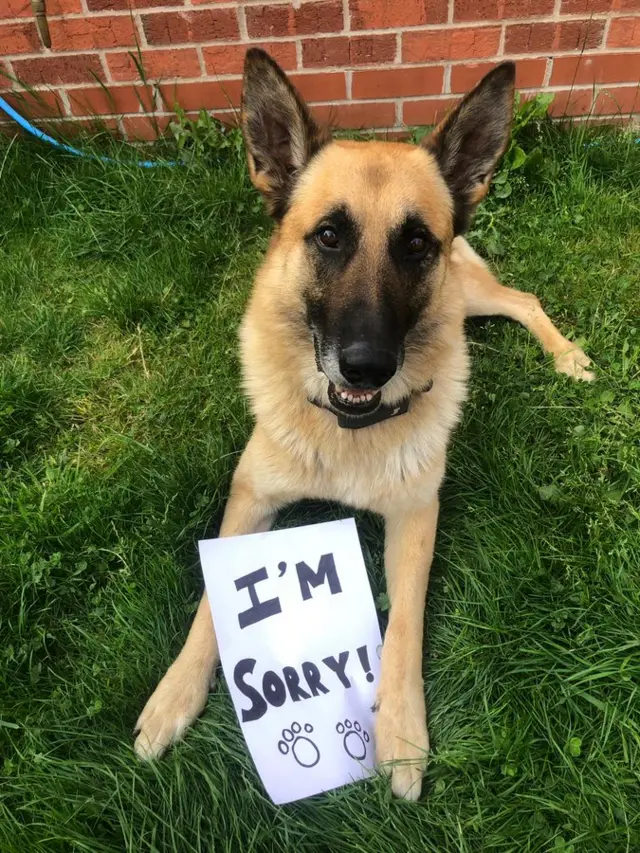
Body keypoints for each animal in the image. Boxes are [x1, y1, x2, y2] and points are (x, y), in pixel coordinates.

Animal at [135, 51, 596, 800]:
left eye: (415, 243)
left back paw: (569, 356)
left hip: (468, 297)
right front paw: (176, 693)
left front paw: (401, 737)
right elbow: (210, 602)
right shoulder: (248, 497)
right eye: (329, 235)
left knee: (523, 299)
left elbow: (403, 626)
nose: (367, 366)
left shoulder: (416, 517)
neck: (346, 435)